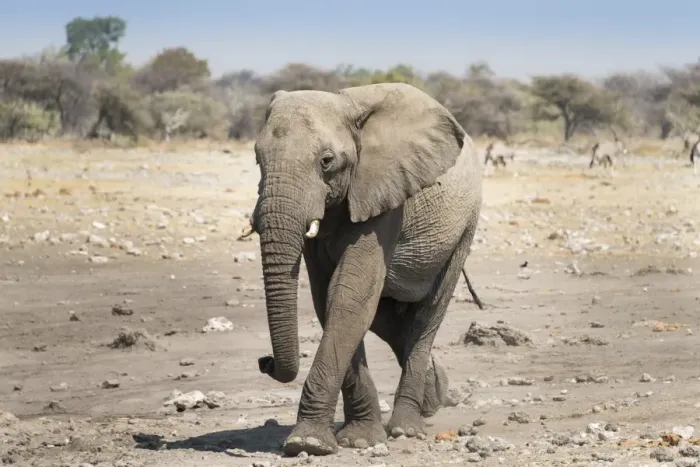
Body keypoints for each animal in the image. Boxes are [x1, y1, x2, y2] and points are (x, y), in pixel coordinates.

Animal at [248, 82, 483, 457]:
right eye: (258, 158)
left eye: (326, 161)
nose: (264, 361)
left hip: (464, 228)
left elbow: (349, 297)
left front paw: (308, 443)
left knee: (427, 317)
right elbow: (329, 299)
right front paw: (358, 439)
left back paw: (406, 428)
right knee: (390, 322)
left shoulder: (384, 195)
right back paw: (436, 396)